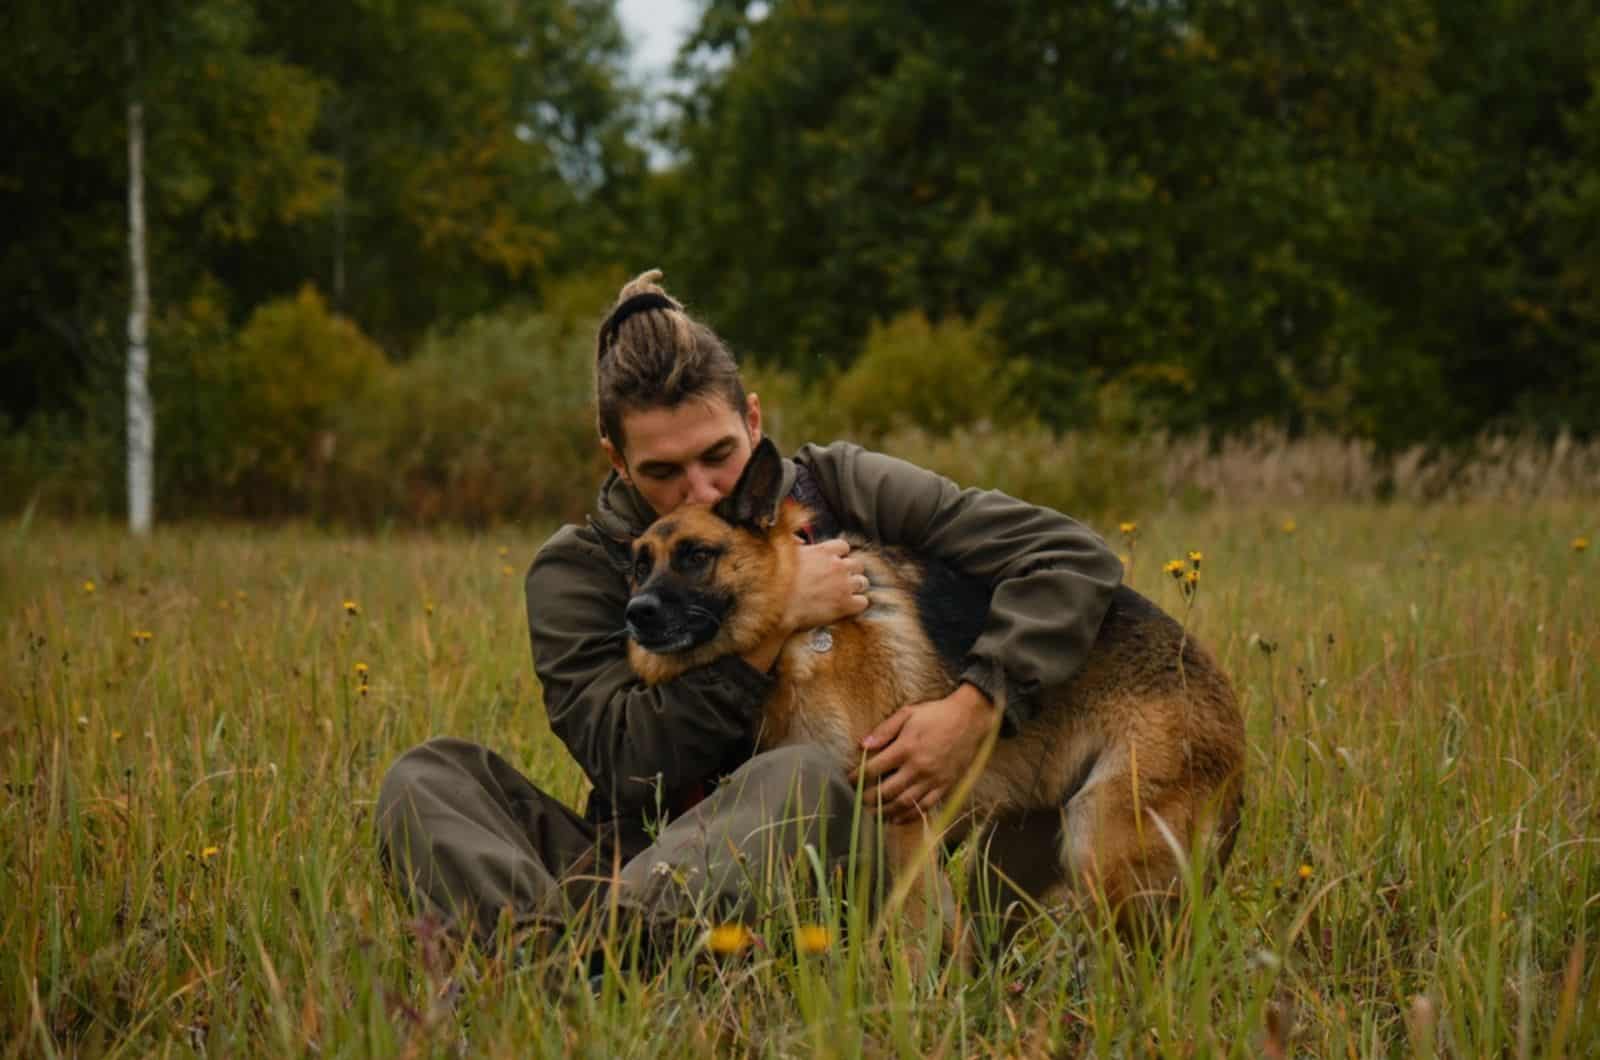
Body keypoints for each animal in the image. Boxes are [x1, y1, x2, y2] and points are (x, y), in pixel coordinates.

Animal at [604, 438, 1241, 941]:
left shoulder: (902, 823)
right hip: (1013, 856)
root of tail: (1221, 692)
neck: (789, 638)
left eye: (696, 556)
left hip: (1102, 854)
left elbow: (912, 933)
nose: (637, 614)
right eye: (639, 566)